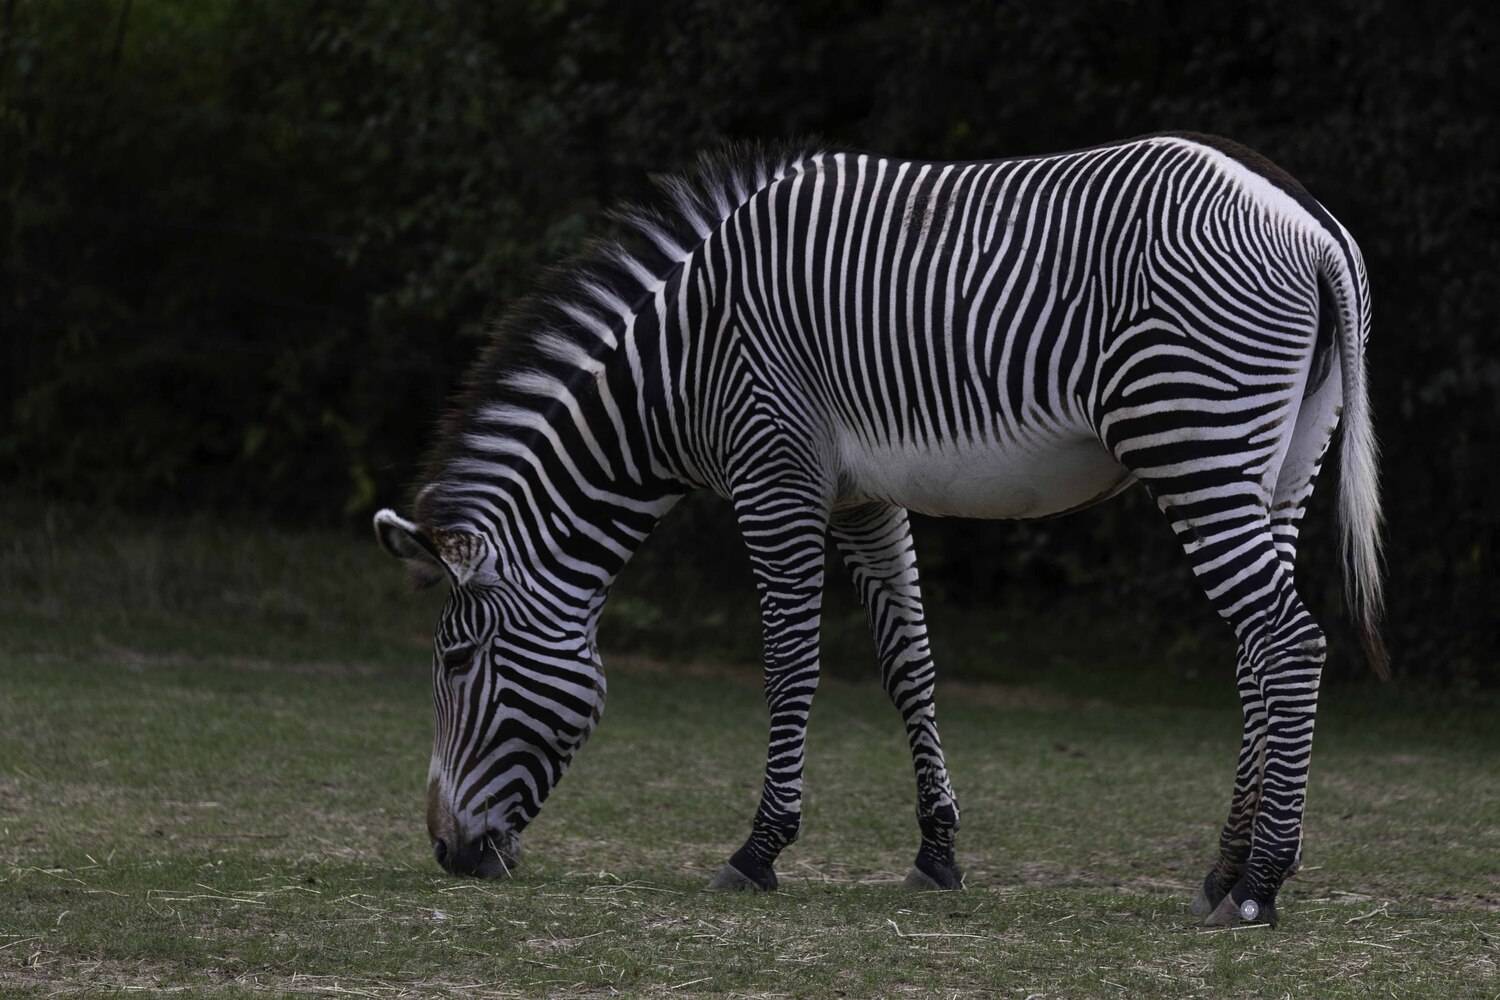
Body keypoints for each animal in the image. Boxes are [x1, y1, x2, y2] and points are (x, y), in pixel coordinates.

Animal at [373, 132, 1383, 927]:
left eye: (455, 661)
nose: (448, 854)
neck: (682, 366)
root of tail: (1309, 220)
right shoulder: (864, 497)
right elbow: (910, 665)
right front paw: (937, 852)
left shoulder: (773, 471)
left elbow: (791, 665)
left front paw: (759, 851)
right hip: (1279, 461)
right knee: (1257, 649)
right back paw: (1222, 871)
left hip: (1191, 436)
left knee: (1288, 642)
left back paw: (1258, 888)